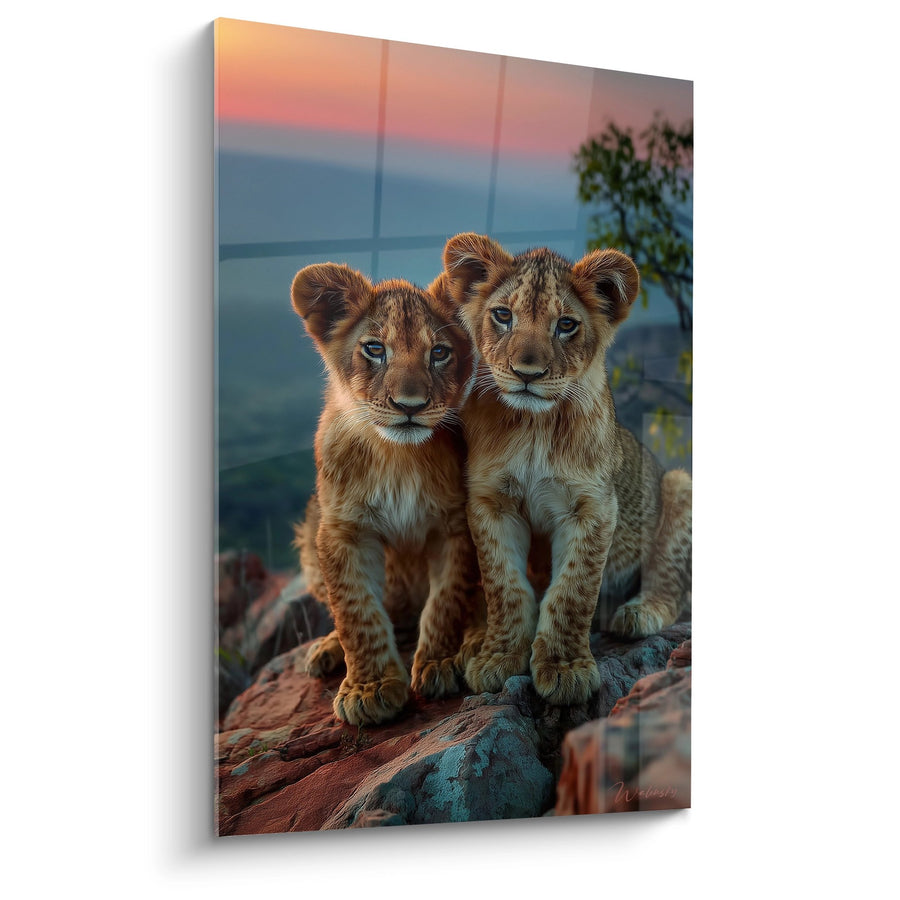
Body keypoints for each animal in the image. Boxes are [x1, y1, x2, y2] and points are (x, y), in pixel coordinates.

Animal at [290, 262, 481, 726]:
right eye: (375, 349)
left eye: (439, 353)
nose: (409, 405)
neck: (397, 456)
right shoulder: (341, 532)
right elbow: (356, 611)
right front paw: (370, 688)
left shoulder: (454, 525)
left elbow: (446, 599)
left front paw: (439, 662)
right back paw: (326, 650)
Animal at [436, 233, 692, 706]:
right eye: (503, 316)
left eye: (566, 325)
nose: (527, 373)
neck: (534, 425)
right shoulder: (490, 503)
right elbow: (504, 586)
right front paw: (498, 658)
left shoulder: (594, 506)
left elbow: (572, 589)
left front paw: (564, 669)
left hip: (679, 483)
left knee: (672, 587)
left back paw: (636, 613)